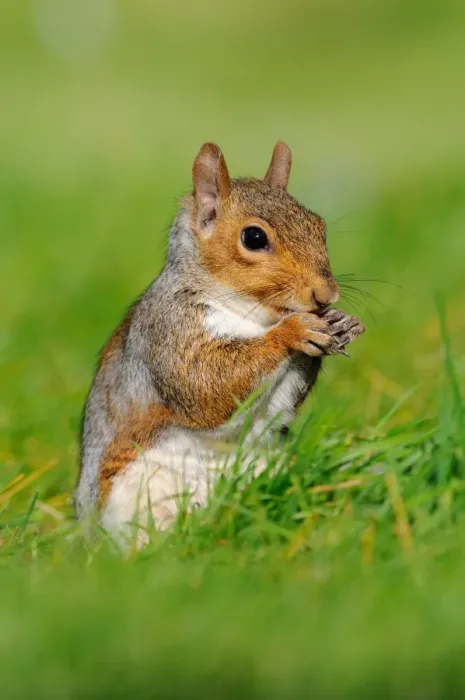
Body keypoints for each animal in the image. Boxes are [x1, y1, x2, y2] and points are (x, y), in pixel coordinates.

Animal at [76, 141, 365, 543]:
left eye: (319, 225)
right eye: (254, 238)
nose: (325, 294)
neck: (253, 315)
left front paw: (341, 324)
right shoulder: (169, 330)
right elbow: (205, 386)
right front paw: (293, 331)